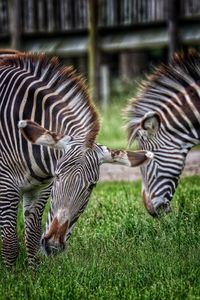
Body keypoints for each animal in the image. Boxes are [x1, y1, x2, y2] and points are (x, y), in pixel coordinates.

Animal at [0, 51, 153, 268]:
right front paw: (12, 276)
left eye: (91, 186)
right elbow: (11, 243)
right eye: (57, 176)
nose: (53, 246)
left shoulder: (40, 189)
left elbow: (32, 237)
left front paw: (32, 274)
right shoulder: (7, 186)